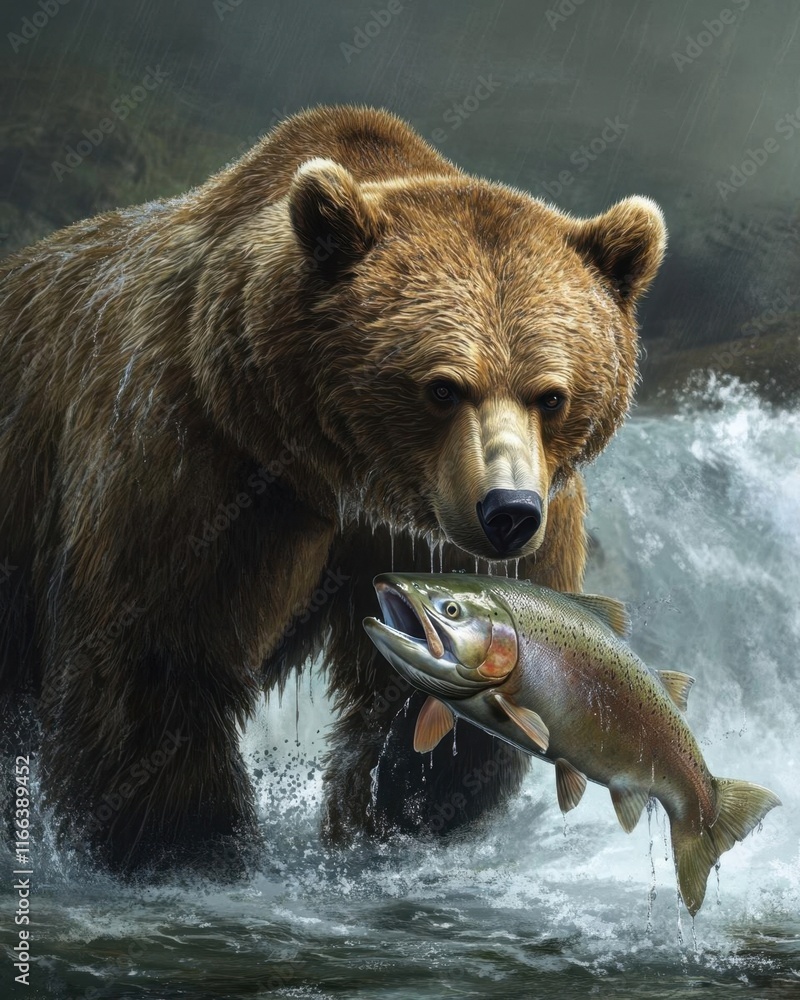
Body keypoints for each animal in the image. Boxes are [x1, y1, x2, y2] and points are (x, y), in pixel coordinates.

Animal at [0, 105, 666, 873]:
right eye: (442, 386)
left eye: (551, 395)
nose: (508, 514)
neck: (344, 469)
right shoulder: (200, 459)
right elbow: (156, 657)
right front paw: (189, 844)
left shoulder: (453, 535)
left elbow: (435, 703)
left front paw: (392, 824)